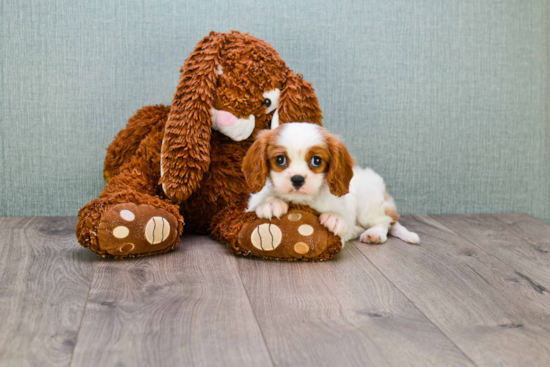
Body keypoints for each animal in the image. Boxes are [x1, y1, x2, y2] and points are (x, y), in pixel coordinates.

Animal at [244, 122, 420, 246]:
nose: (297, 179)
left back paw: (375, 234)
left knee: (385, 222)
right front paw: (271, 203)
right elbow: (262, 198)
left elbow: (344, 217)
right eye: (280, 159)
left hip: (369, 206)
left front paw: (335, 218)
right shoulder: (253, 201)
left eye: (316, 161)